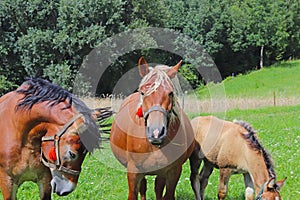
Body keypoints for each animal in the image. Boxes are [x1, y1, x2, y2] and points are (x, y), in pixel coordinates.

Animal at [110, 57, 195, 199]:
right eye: (143, 92)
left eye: (170, 93)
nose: (156, 133)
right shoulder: (133, 172)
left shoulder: (173, 171)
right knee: (144, 187)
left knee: (158, 187)